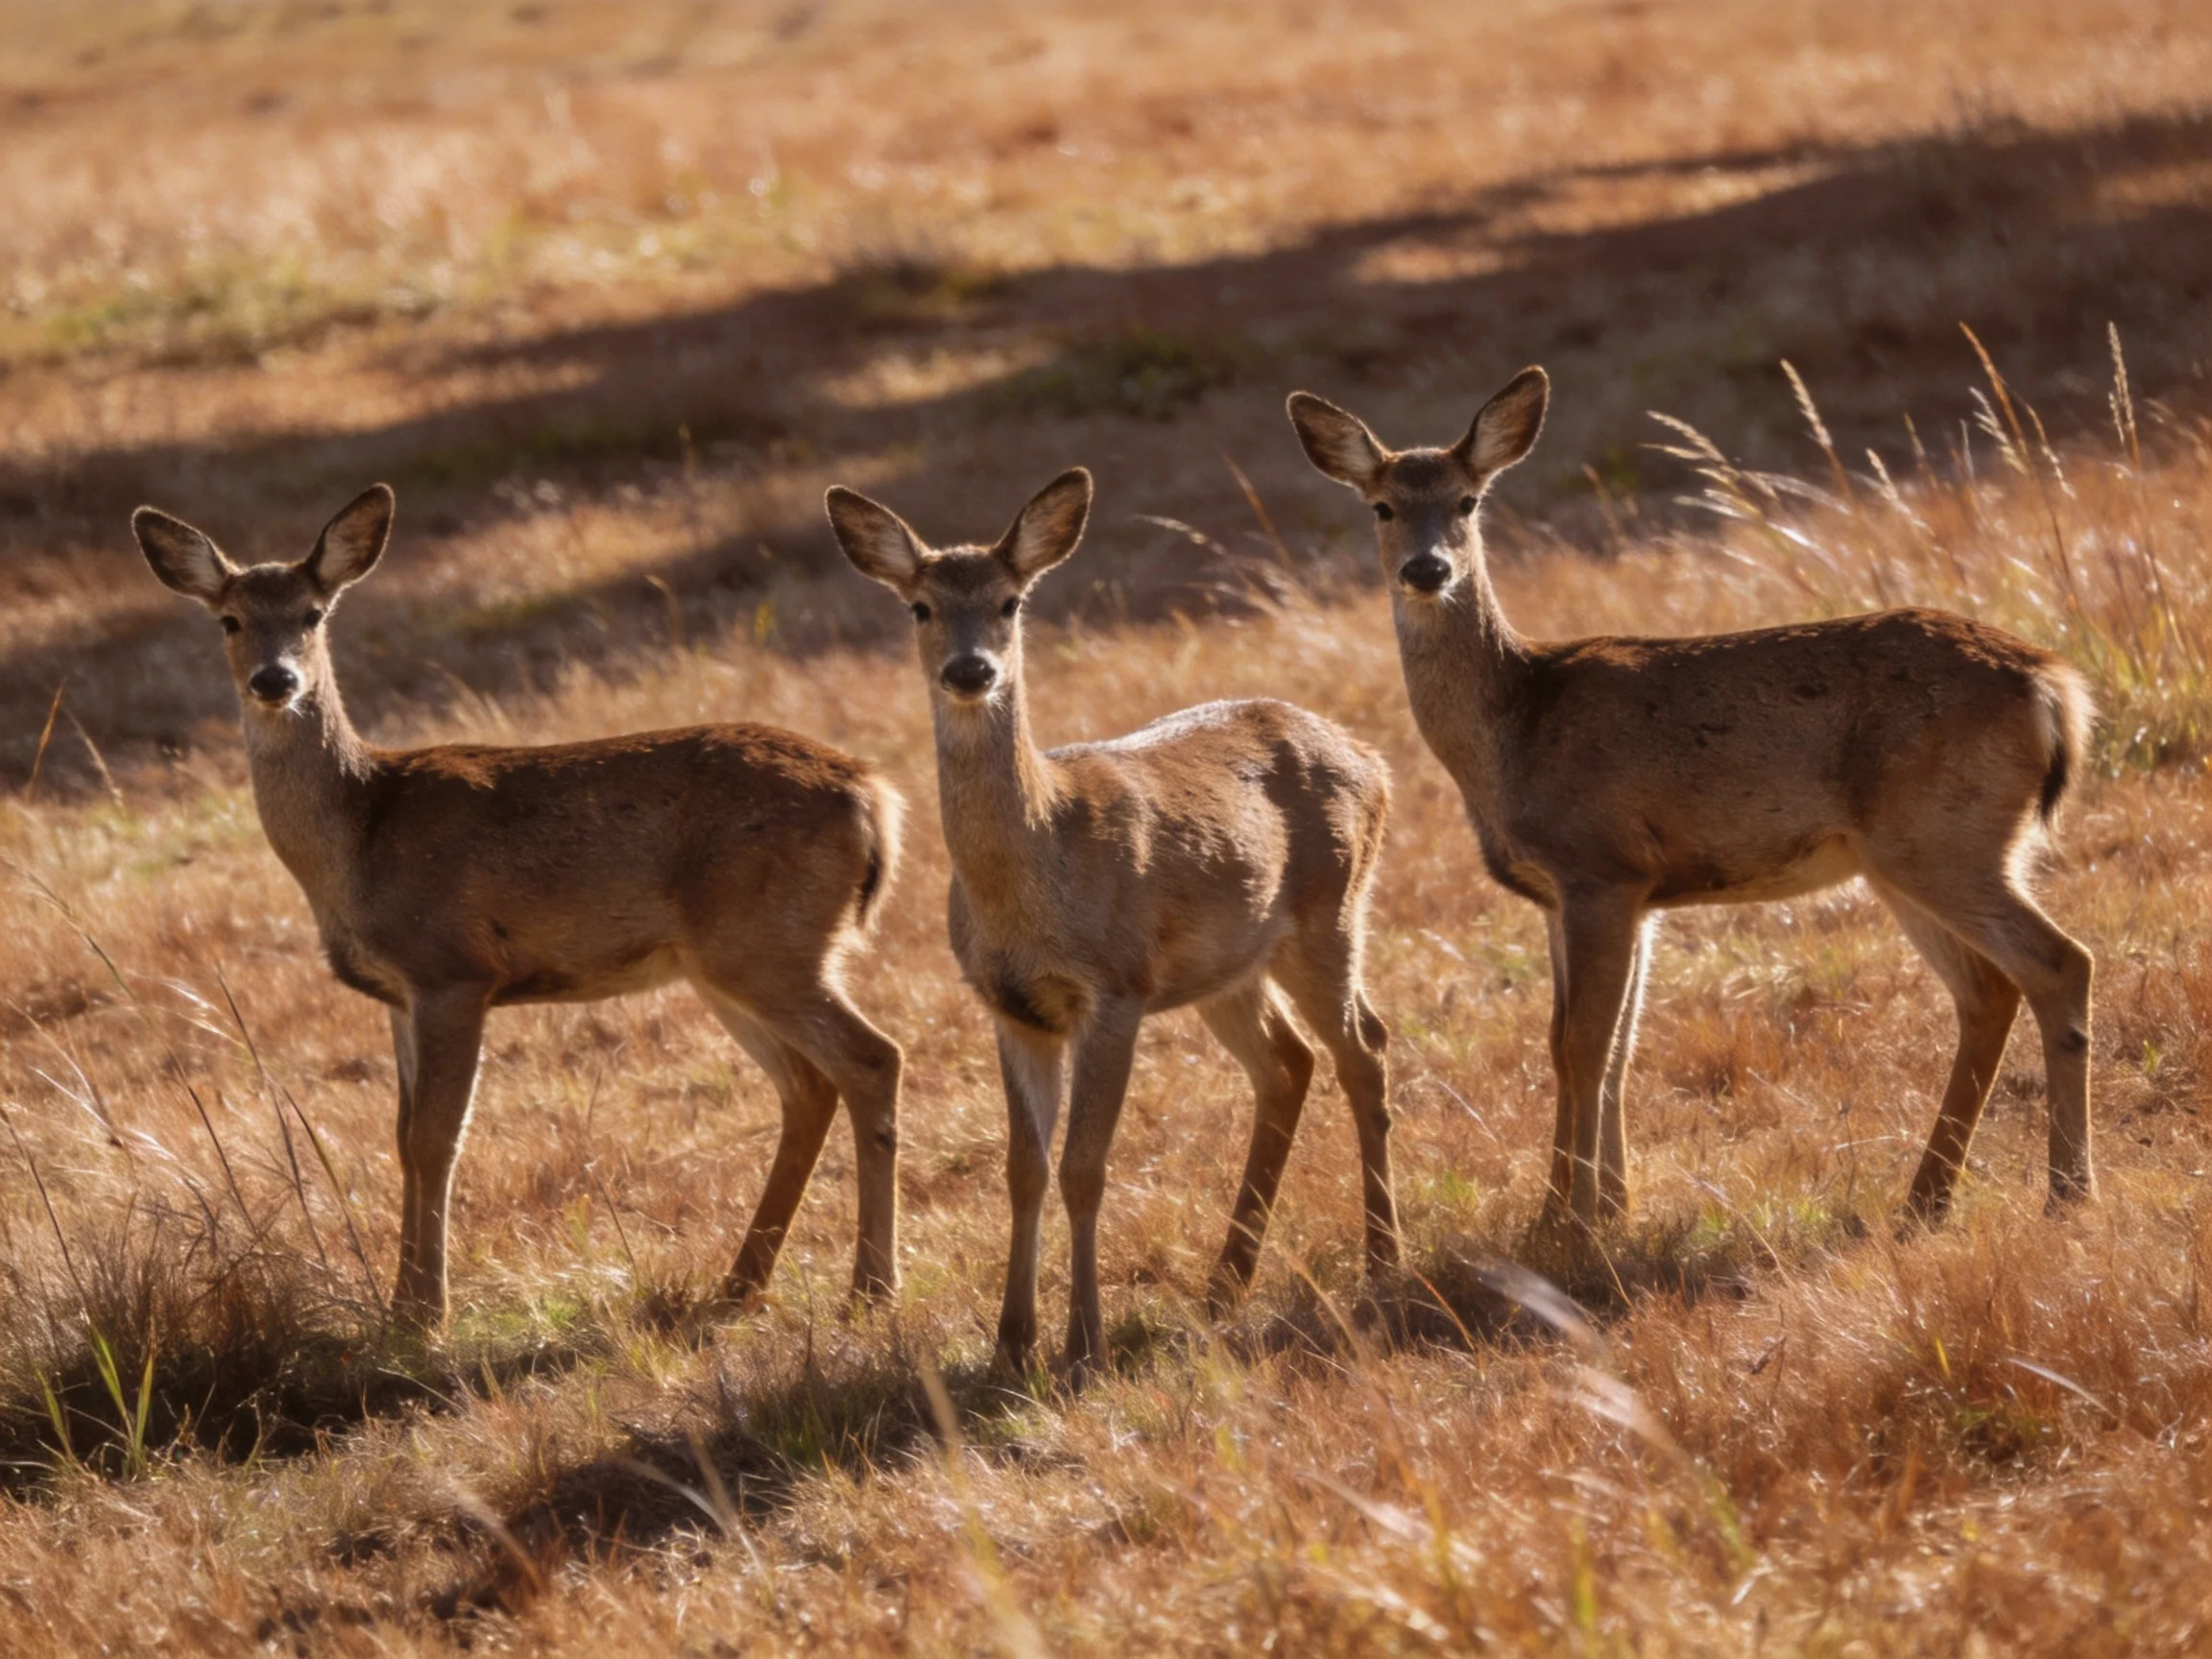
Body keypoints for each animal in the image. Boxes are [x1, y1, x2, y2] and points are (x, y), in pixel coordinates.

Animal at [133, 484, 907, 1327]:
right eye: (230, 619)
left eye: (312, 614)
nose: (275, 681)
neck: (360, 832)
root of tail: (871, 792)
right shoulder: (399, 992)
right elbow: (401, 1137)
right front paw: (401, 1303)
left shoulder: (451, 967)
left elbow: (435, 1138)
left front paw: (426, 1312)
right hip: (728, 961)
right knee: (807, 1085)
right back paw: (742, 1282)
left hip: (770, 941)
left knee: (873, 1059)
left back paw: (870, 1288)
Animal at [826, 468, 1396, 1382]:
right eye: (919, 606)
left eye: (1012, 601)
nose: (970, 669)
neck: (1036, 873)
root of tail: (1372, 759)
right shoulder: (1011, 1006)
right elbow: (1024, 1167)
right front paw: (1011, 1343)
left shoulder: (1116, 987)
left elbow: (1085, 1167)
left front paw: (1082, 1345)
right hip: (1228, 964)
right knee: (1288, 1062)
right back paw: (1225, 1283)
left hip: (1331, 911)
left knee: (1363, 1048)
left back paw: (1382, 1260)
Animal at [1288, 367, 2095, 1229]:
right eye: (1382, 506)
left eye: (1469, 501)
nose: (1427, 569)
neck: (1514, 726)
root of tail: (2052, 685)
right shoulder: (1598, 895)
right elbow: (1595, 1044)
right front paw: (1603, 1205)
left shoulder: (1600, 868)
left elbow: (1581, 1044)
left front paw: (1567, 1221)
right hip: (1908, 856)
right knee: (1987, 991)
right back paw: (1927, 1198)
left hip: (1946, 837)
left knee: (2059, 963)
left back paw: (2066, 1190)